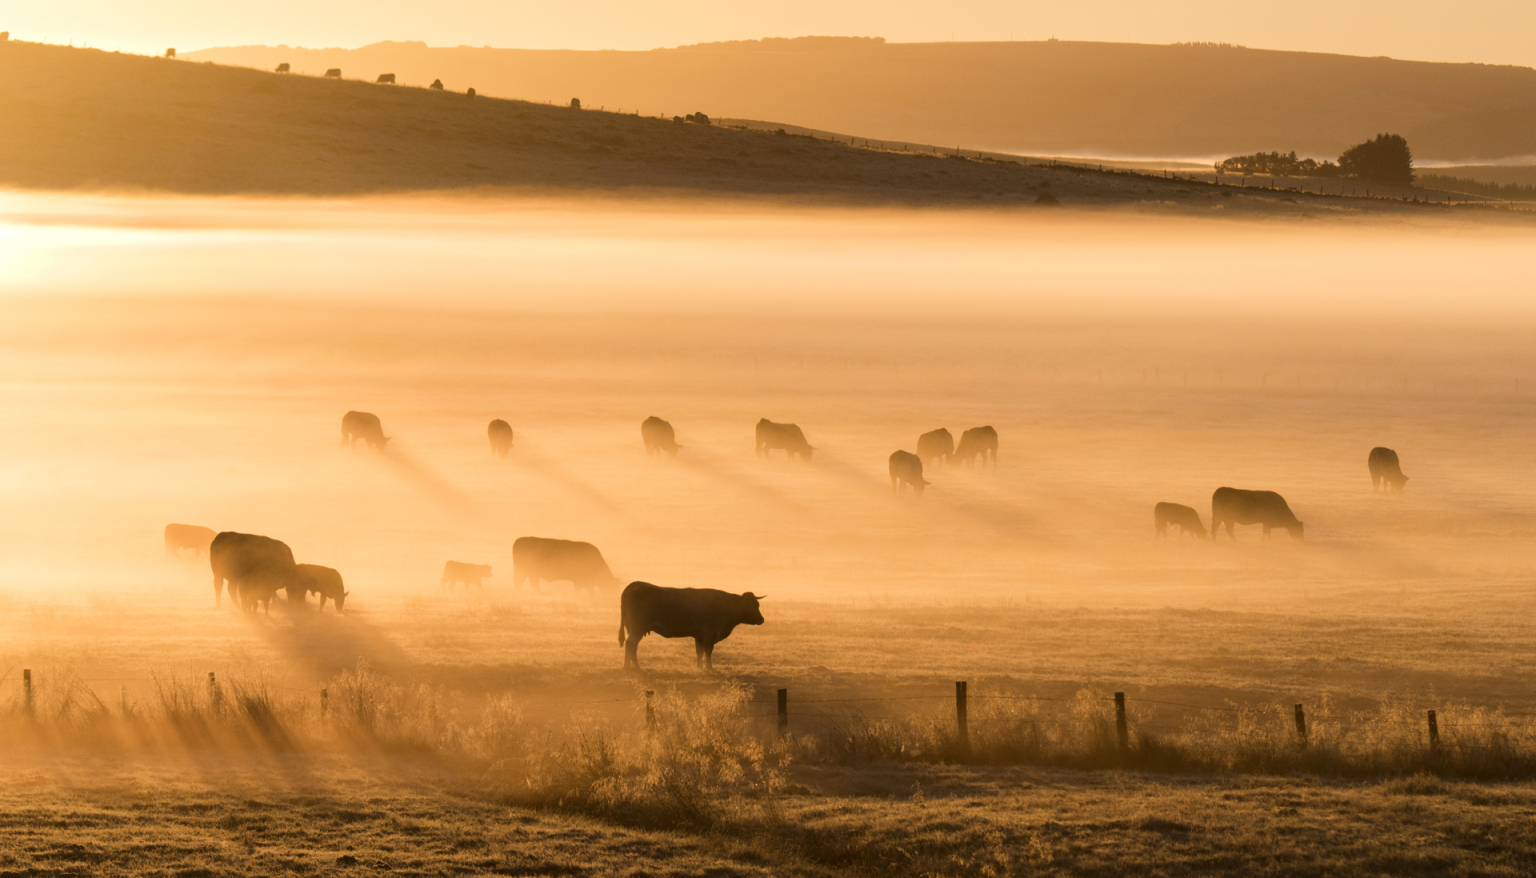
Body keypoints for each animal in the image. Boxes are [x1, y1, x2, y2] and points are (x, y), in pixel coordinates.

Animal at [617, 583, 768, 672]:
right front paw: (709, 668)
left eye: (758, 605)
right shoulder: (709, 634)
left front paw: (699, 667)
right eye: (753, 606)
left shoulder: (699, 636)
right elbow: (708, 652)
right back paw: (628, 667)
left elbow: (699, 652)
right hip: (637, 629)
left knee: (633, 646)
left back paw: (635, 667)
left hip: (634, 630)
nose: (762, 619)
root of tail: (636, 584)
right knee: (630, 644)